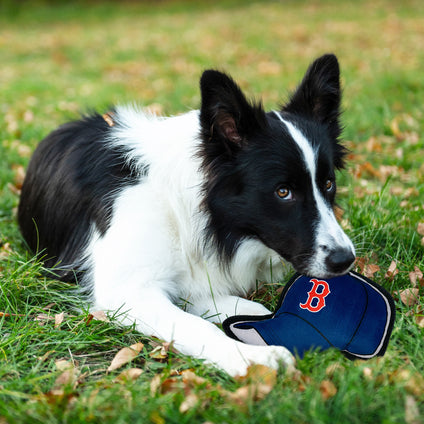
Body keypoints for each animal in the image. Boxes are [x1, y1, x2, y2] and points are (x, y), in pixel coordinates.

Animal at [17, 53, 354, 374]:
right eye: (283, 191)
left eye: (328, 184)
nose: (345, 260)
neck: (185, 211)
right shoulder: (126, 290)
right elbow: (197, 326)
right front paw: (250, 358)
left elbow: (248, 308)